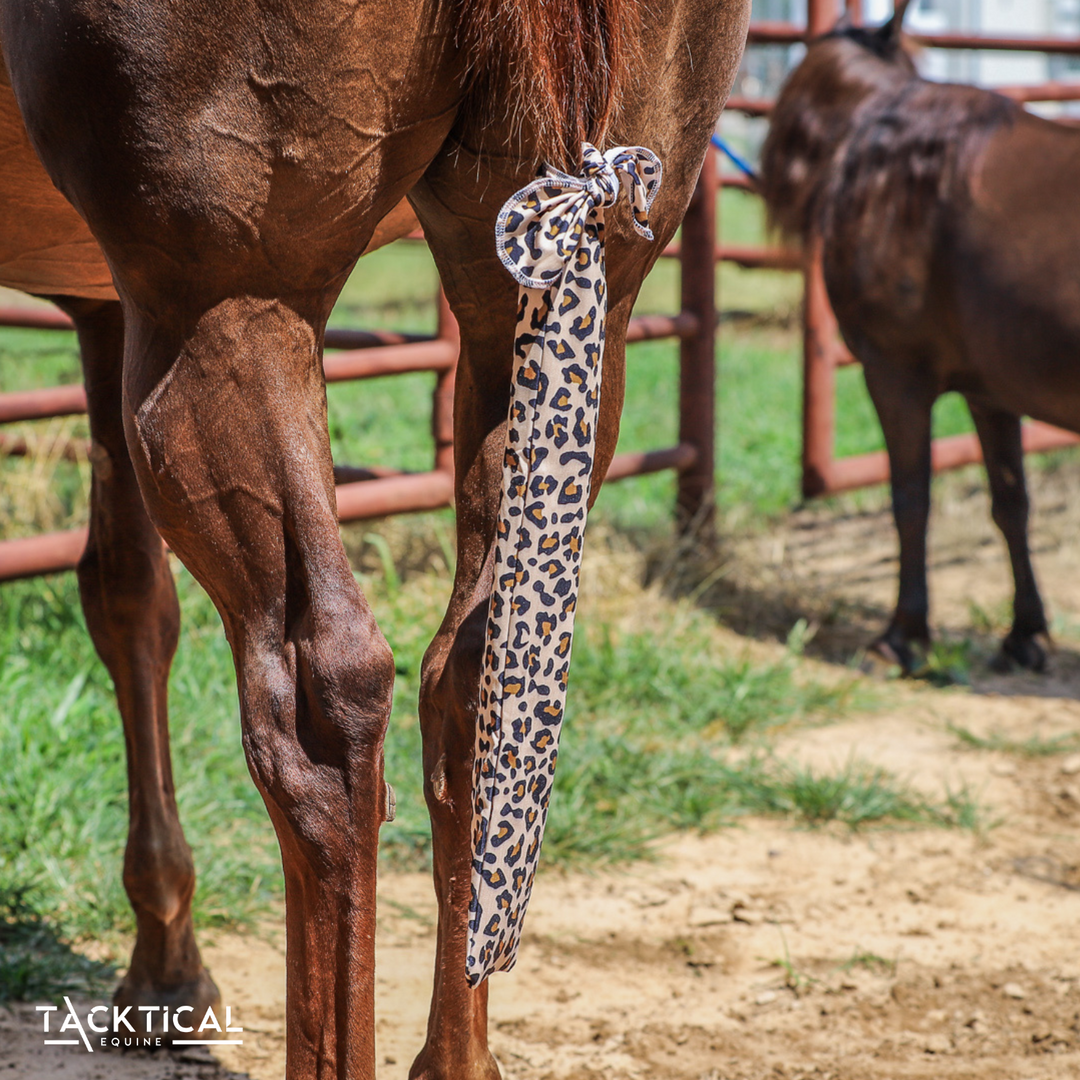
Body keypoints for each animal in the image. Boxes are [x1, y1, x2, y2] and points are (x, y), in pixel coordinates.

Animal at [2, 2, 751, 1080]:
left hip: (227, 307)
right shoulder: (102, 294)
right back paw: (457, 1058)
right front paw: (165, 970)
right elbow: (129, 597)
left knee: (318, 693)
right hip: (551, 302)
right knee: (481, 678)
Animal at [756, 6, 1080, 665]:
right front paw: (1025, 632)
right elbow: (1011, 501)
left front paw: (903, 635)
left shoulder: (894, 372)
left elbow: (910, 500)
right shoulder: (991, 391)